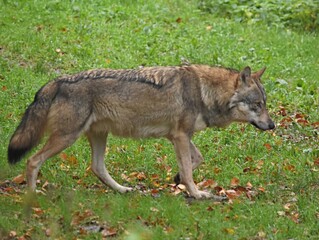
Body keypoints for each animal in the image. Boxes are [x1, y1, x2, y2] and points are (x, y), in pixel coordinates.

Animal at [7, 63, 276, 199]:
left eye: (265, 104)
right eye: (257, 105)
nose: (272, 125)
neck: (204, 91)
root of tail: (58, 80)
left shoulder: (179, 136)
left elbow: (196, 160)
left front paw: (178, 178)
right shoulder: (180, 136)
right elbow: (190, 170)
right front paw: (197, 193)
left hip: (98, 136)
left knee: (97, 167)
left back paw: (122, 190)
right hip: (66, 138)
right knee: (33, 161)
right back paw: (32, 196)